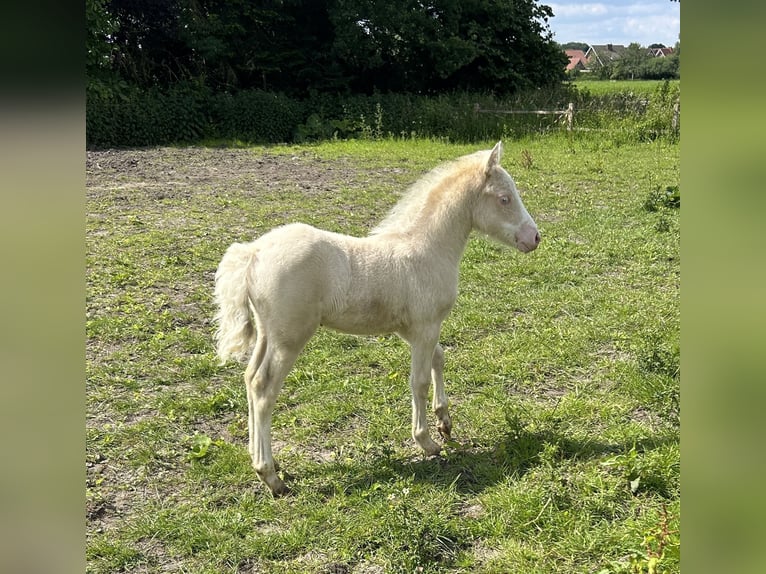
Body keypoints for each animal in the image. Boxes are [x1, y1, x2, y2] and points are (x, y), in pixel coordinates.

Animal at [213, 142, 544, 498]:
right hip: (290, 338)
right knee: (264, 387)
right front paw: (427, 442)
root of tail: (254, 253)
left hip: (268, 334)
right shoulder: (425, 326)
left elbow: (439, 358)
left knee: (250, 378)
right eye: (504, 198)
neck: (426, 248)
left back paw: (262, 460)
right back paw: (271, 477)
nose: (534, 237)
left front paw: (445, 422)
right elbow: (419, 381)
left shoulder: (414, 329)